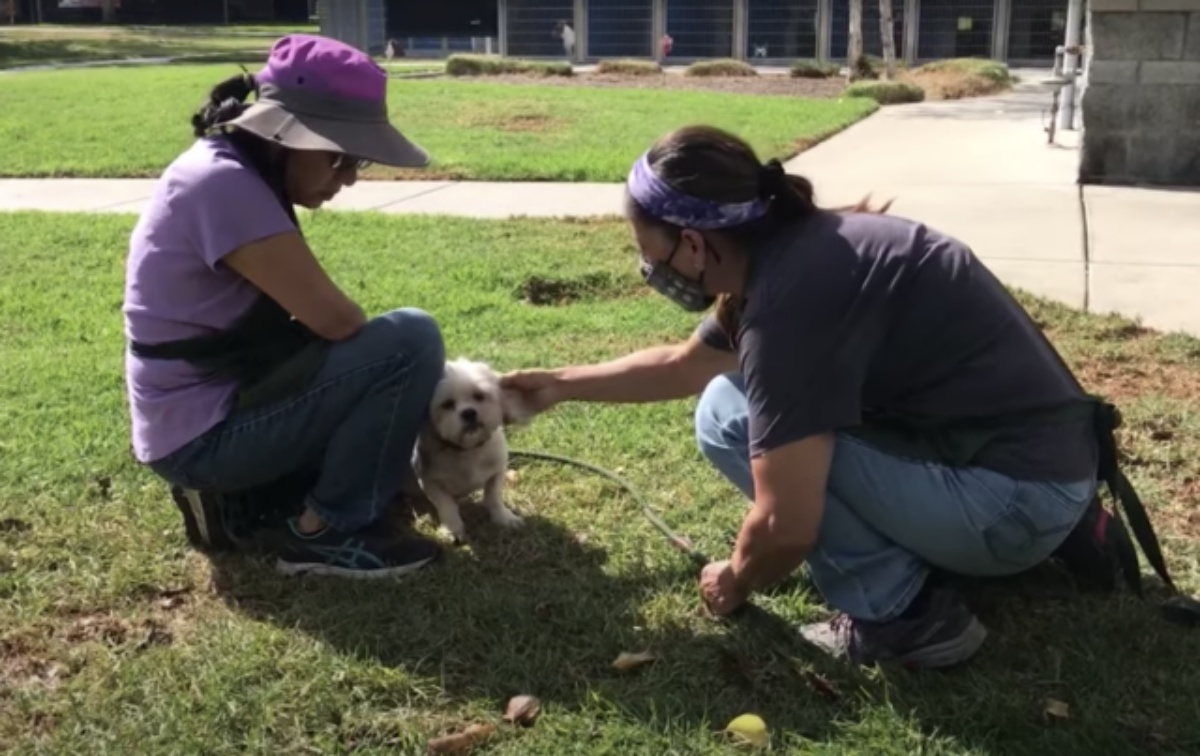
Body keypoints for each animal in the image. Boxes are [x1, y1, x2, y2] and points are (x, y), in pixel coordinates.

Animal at [412, 357, 525, 542]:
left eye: (479, 395)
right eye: (447, 404)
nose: (469, 412)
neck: (468, 450)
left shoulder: (497, 471)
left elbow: (494, 497)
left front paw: (503, 517)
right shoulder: (430, 482)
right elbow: (447, 506)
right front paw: (453, 529)